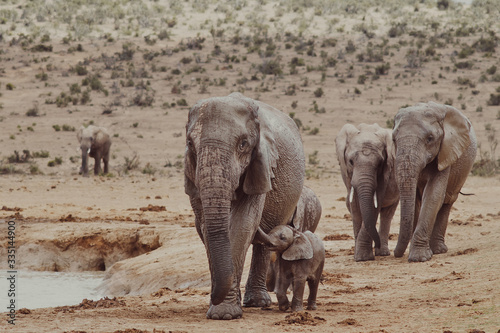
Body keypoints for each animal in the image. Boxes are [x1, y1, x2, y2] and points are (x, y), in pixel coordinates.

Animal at [184, 91, 304, 320]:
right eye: (190, 144)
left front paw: (224, 314)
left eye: (243, 144)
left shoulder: (262, 164)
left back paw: (257, 302)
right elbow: (206, 228)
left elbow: (243, 224)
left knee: (264, 240)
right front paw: (218, 309)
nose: (214, 296)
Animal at [336, 123, 398, 260]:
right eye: (351, 162)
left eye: (380, 164)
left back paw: (382, 253)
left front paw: (363, 257)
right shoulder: (346, 173)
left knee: (387, 214)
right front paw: (359, 257)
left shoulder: (385, 171)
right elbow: (354, 205)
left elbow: (375, 204)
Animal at [392, 101, 478, 262]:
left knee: (447, 201)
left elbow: (433, 195)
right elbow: (414, 200)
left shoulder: (446, 152)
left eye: (430, 138)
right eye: (393, 139)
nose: (394, 253)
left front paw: (419, 258)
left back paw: (438, 250)